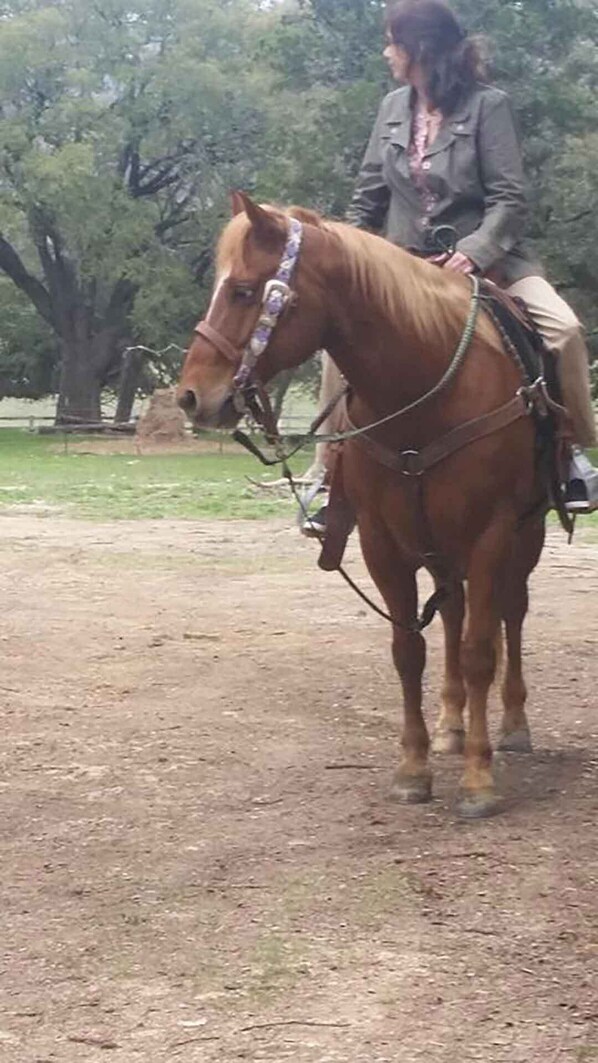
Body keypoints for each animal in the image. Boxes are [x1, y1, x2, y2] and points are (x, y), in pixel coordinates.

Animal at [176, 195, 548, 816]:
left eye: (245, 291)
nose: (189, 397)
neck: (421, 388)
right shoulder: (382, 542)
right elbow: (408, 649)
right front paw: (415, 768)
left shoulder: (491, 533)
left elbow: (480, 650)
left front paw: (478, 779)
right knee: (452, 614)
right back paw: (451, 725)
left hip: (525, 535)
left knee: (509, 613)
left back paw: (514, 724)